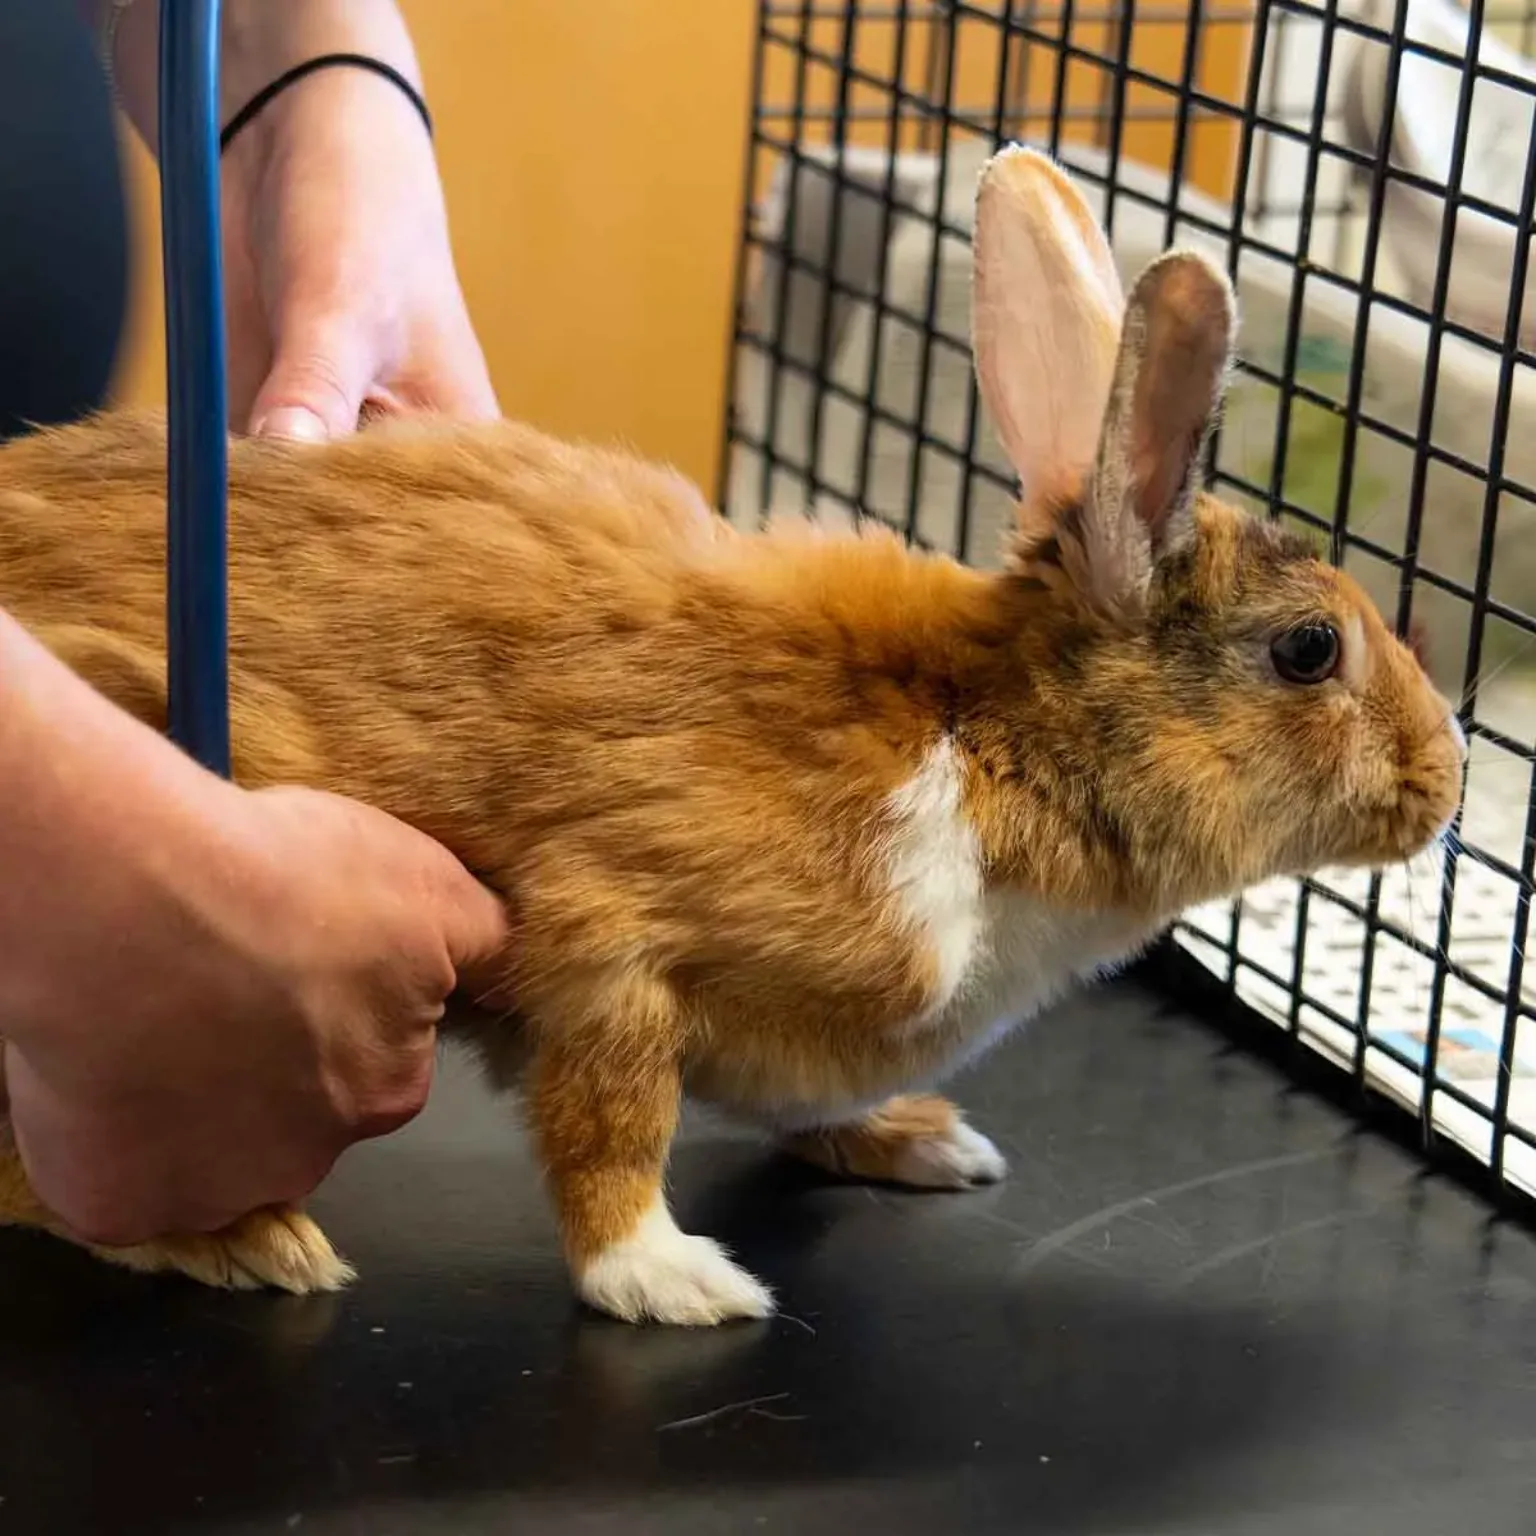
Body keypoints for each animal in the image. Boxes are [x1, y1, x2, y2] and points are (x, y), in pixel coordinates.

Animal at [0, 146, 1466, 1326]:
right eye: (1310, 649)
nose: (1447, 784)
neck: (980, 736)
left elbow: (794, 1103)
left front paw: (925, 1144)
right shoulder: (614, 940)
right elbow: (609, 1128)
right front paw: (672, 1282)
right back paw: (244, 1240)